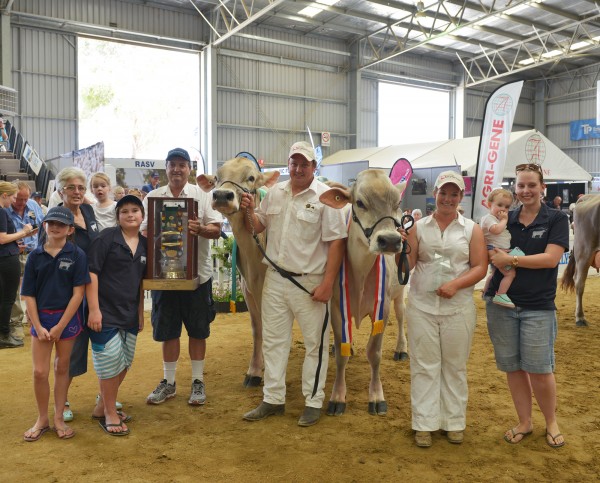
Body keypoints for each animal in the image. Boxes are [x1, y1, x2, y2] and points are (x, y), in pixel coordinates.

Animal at [198, 158, 280, 386]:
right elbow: (257, 328)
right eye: (216, 177)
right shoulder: (248, 291)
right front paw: (255, 370)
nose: (221, 195)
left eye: (251, 177)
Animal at [318, 170, 408, 416]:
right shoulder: (337, 306)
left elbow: (374, 354)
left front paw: (376, 396)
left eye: (397, 203)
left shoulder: (382, 309)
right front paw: (337, 396)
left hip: (400, 293)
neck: (360, 271)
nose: (391, 240)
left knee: (401, 317)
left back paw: (401, 349)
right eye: (359, 203)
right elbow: (341, 355)